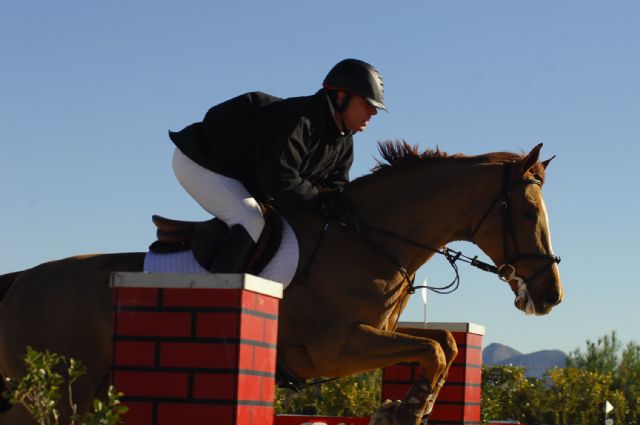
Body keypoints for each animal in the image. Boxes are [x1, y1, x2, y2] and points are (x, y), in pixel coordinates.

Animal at [0, 142, 560, 424]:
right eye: (527, 211)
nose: (550, 296)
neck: (369, 241)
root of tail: (22, 280)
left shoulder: (371, 335)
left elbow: (442, 341)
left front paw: (408, 406)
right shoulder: (336, 348)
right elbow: (437, 346)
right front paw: (405, 409)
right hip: (52, 396)